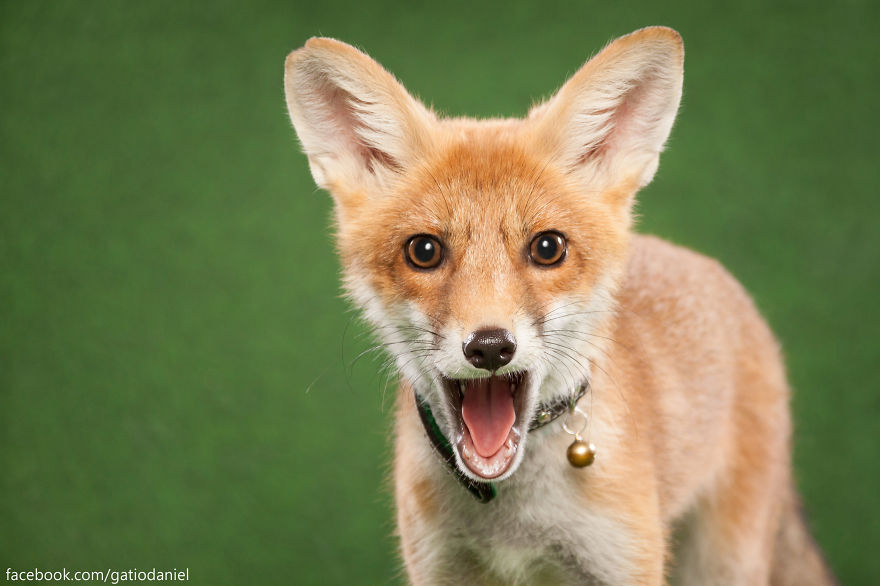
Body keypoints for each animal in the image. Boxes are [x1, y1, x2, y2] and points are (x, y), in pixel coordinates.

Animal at [283, 27, 837, 586]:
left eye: (548, 248)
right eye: (424, 251)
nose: (490, 347)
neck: (516, 526)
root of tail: (703, 264)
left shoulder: (624, 564)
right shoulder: (440, 568)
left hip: (724, 562)